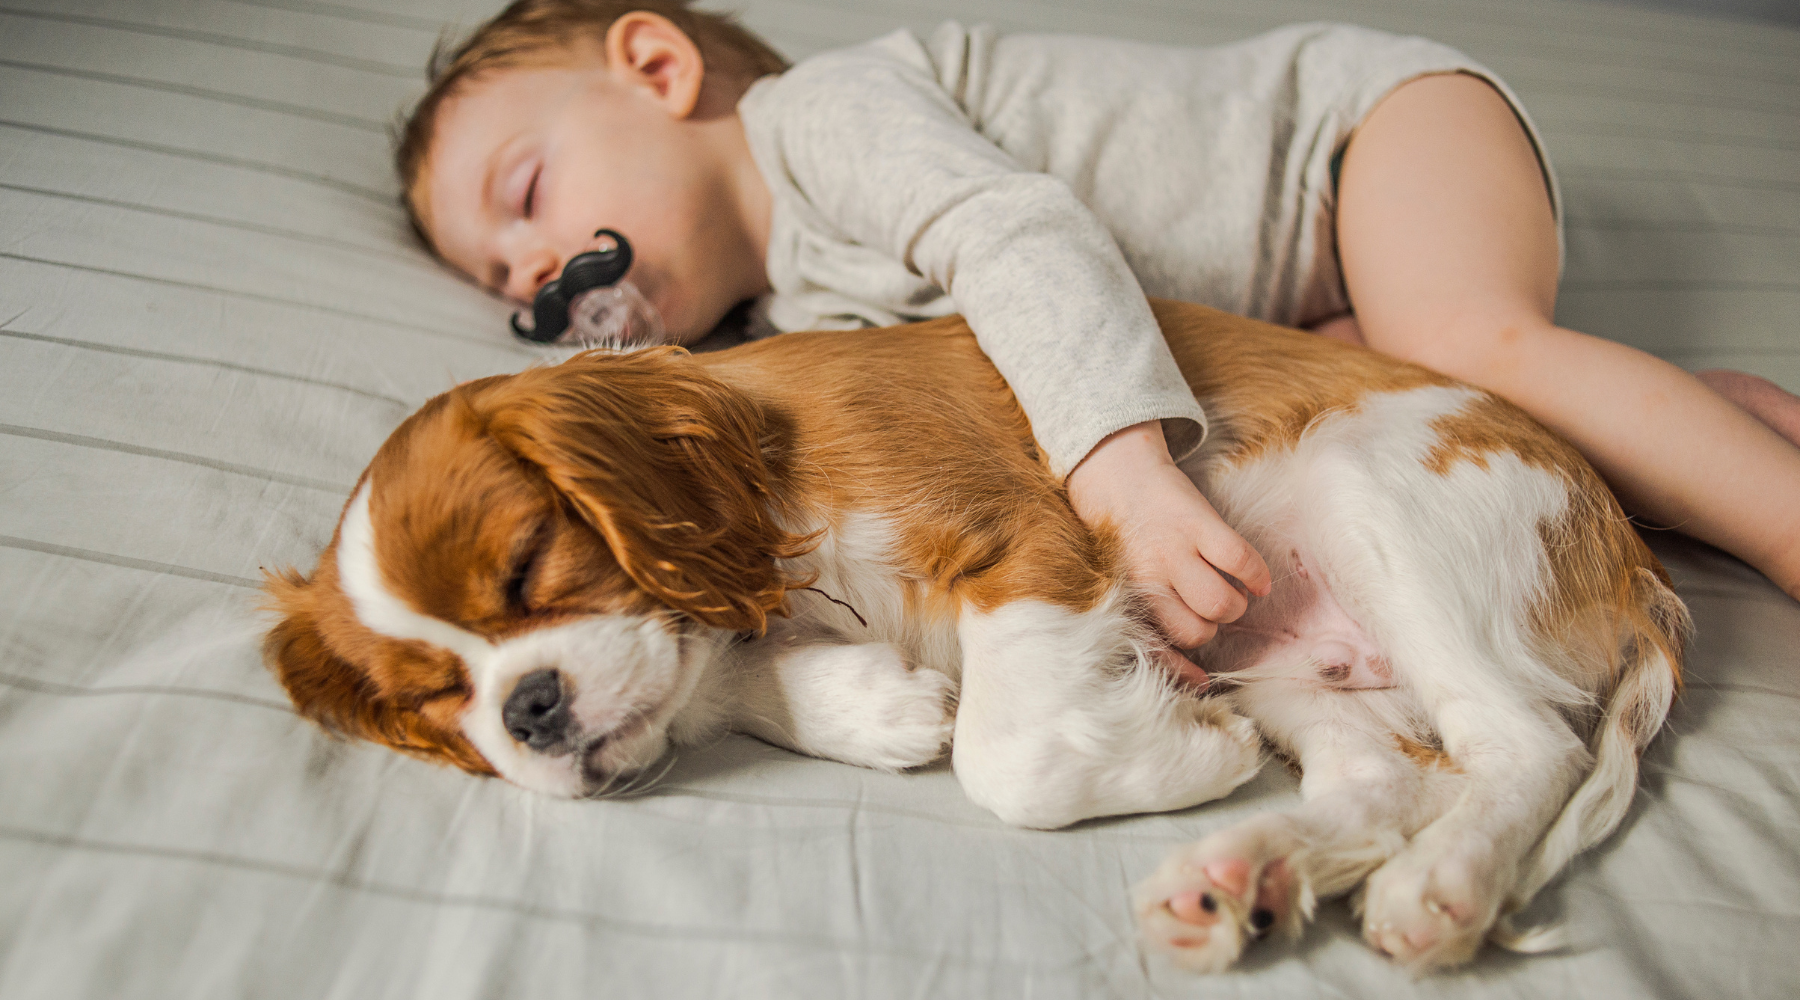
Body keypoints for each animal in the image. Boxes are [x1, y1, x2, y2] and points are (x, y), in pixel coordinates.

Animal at [266, 296, 1684, 971]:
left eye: (527, 566)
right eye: (440, 698)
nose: (529, 708)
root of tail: (1634, 555)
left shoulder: (1035, 540)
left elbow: (1007, 759)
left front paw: (1183, 754)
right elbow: (729, 678)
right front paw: (875, 704)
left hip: (1376, 499)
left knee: (1522, 748)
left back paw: (1437, 888)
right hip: (1298, 668)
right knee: (1388, 776)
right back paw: (1243, 874)